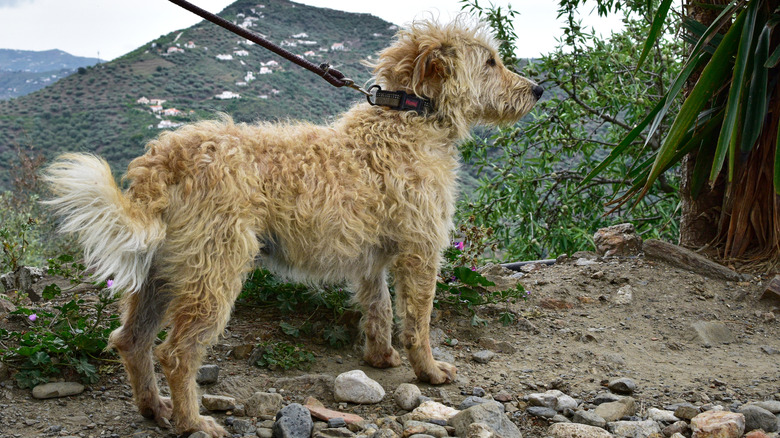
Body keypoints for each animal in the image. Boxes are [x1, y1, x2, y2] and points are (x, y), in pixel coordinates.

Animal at [44, 18, 544, 436]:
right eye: (490, 61)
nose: (538, 89)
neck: (407, 118)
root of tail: (165, 161)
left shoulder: (372, 260)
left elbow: (379, 309)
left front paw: (380, 357)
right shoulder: (421, 250)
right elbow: (417, 321)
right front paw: (429, 371)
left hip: (162, 273)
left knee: (131, 340)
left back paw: (155, 408)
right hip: (215, 271)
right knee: (176, 353)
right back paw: (193, 422)